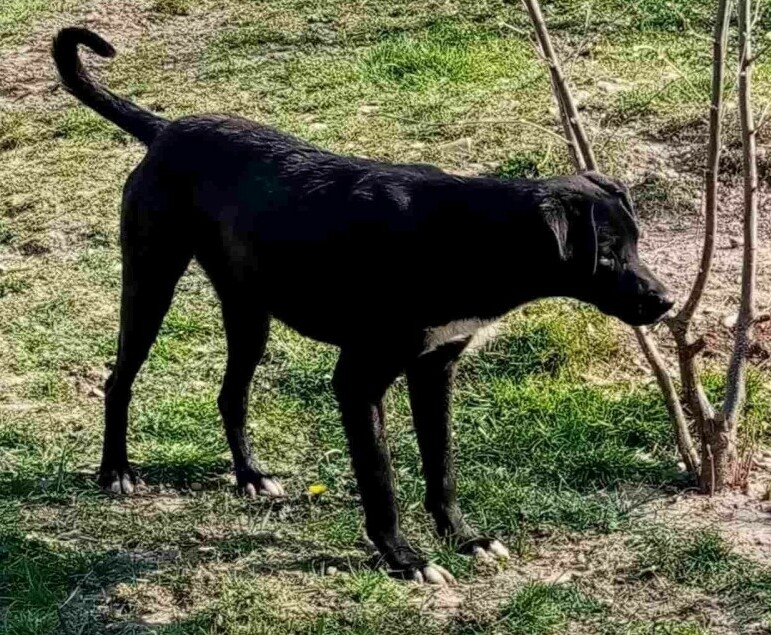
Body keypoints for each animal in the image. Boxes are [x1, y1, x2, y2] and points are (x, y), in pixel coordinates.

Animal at [54, 28, 672, 588]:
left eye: (637, 242)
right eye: (608, 254)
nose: (665, 301)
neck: (467, 237)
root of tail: (168, 130)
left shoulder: (435, 369)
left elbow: (442, 467)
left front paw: (463, 538)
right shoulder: (358, 382)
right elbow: (380, 481)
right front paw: (404, 558)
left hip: (250, 312)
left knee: (231, 395)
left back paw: (250, 476)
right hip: (151, 283)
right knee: (119, 379)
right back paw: (116, 471)